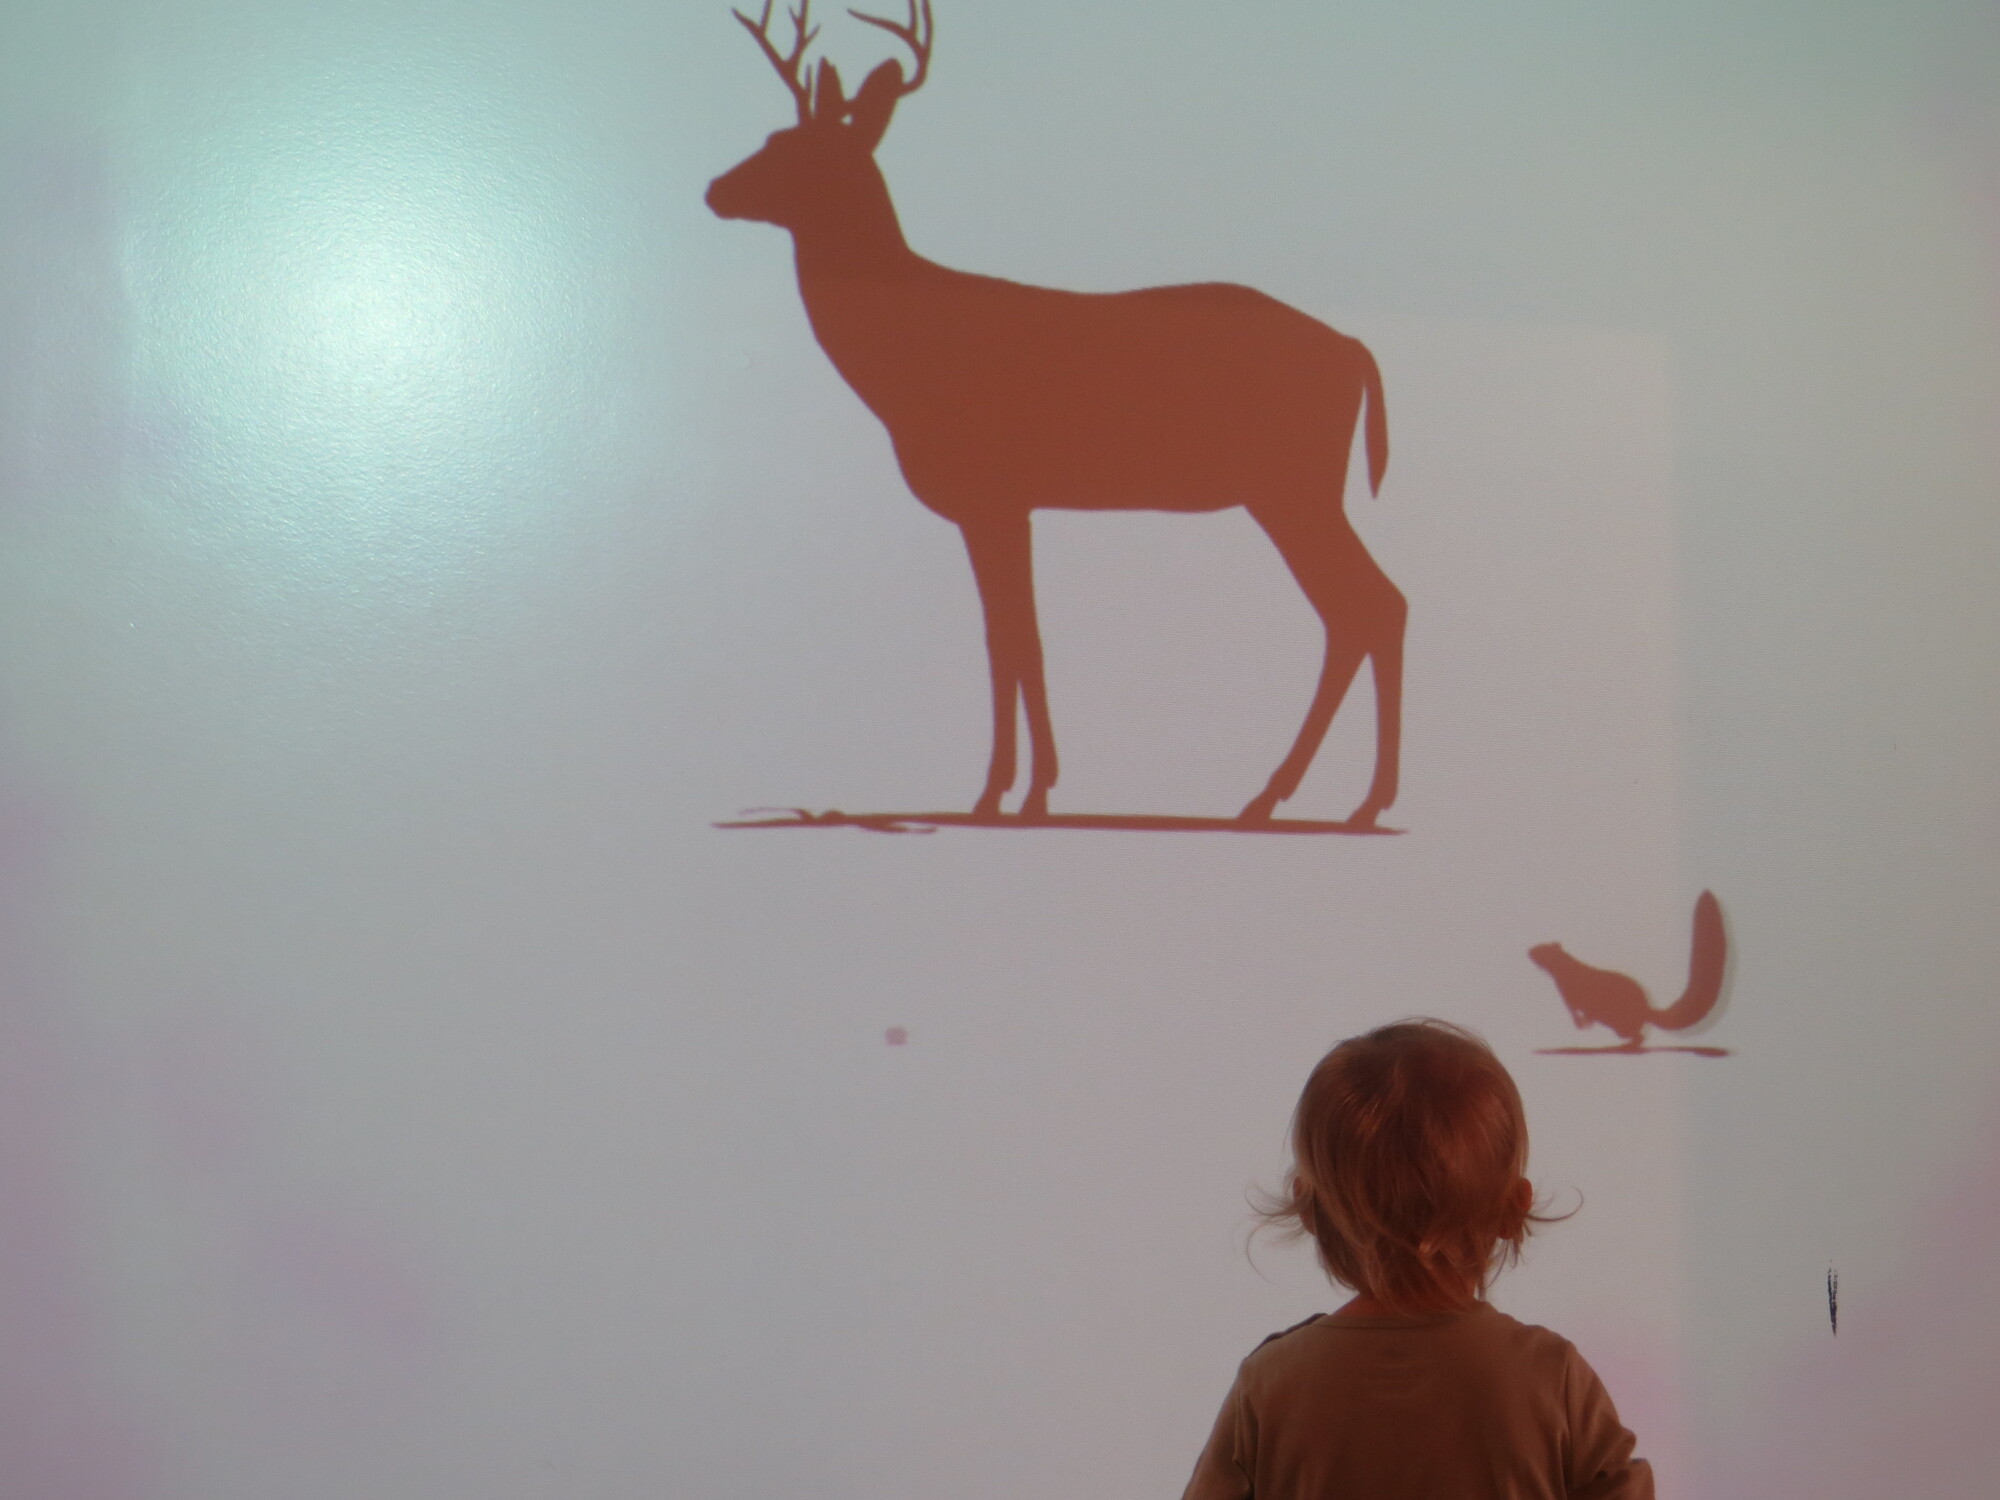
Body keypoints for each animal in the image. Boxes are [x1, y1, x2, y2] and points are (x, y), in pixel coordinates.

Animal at [706, 0, 1406, 827]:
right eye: (770, 136)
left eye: (794, 149)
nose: (713, 189)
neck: (908, 360)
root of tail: (1355, 350)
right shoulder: (1008, 504)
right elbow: (1010, 638)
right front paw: (1019, 788)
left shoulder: (995, 495)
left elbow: (1015, 639)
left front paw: (1008, 793)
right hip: (1296, 490)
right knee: (1360, 609)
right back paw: (1300, 799)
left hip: (1294, 485)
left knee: (1373, 604)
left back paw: (1334, 801)